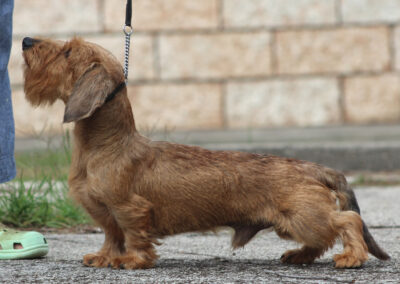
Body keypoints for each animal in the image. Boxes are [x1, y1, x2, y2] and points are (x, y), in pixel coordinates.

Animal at [22, 37, 390, 268]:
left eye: (67, 52)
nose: (25, 40)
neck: (108, 145)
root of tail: (316, 168)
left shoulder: (129, 209)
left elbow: (133, 236)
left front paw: (132, 261)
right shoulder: (105, 214)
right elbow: (112, 236)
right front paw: (104, 257)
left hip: (305, 217)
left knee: (348, 220)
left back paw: (352, 257)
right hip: (294, 223)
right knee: (323, 238)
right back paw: (299, 255)